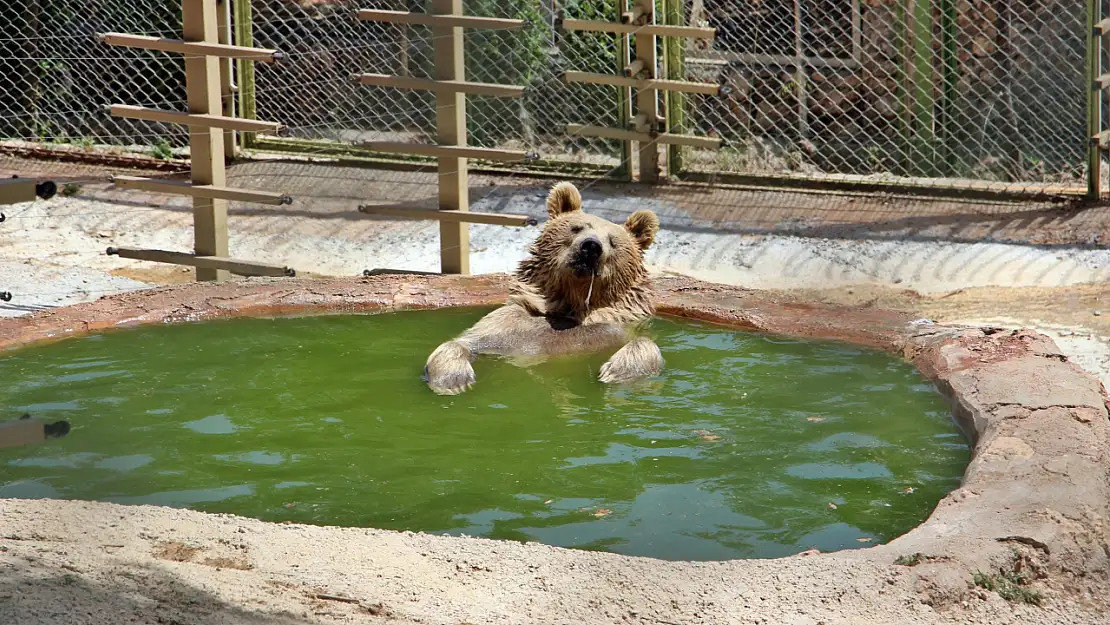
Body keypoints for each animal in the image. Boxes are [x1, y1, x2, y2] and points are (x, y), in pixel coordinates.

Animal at [421, 180, 661, 395]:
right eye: (576, 228)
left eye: (613, 241)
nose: (591, 247)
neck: (569, 307)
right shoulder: (505, 328)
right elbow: (463, 342)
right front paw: (454, 379)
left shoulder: (616, 329)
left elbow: (645, 343)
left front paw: (616, 371)